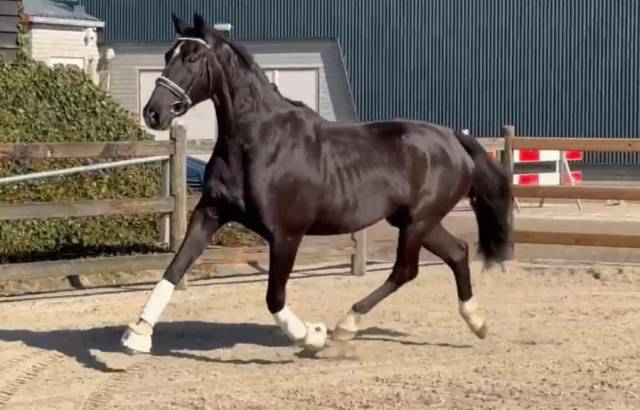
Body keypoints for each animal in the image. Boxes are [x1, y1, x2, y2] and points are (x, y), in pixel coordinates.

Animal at [121, 13, 512, 354]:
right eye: (167, 55)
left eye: (192, 57)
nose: (153, 113)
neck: (258, 141)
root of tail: (453, 139)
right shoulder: (210, 212)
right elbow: (176, 267)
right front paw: (138, 334)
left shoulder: (286, 234)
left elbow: (274, 297)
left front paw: (311, 336)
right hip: (415, 221)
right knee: (457, 252)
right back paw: (477, 322)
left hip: (418, 221)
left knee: (406, 270)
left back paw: (345, 325)